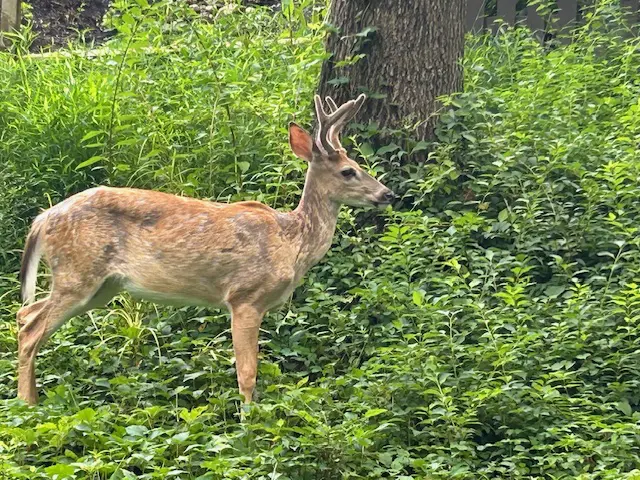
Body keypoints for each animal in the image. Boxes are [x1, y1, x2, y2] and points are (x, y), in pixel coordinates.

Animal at [16, 94, 394, 405]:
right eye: (348, 171)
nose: (387, 193)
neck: (291, 242)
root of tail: (42, 220)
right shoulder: (244, 296)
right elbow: (247, 373)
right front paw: (248, 424)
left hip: (101, 286)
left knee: (25, 314)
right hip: (77, 272)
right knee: (29, 330)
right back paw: (27, 407)